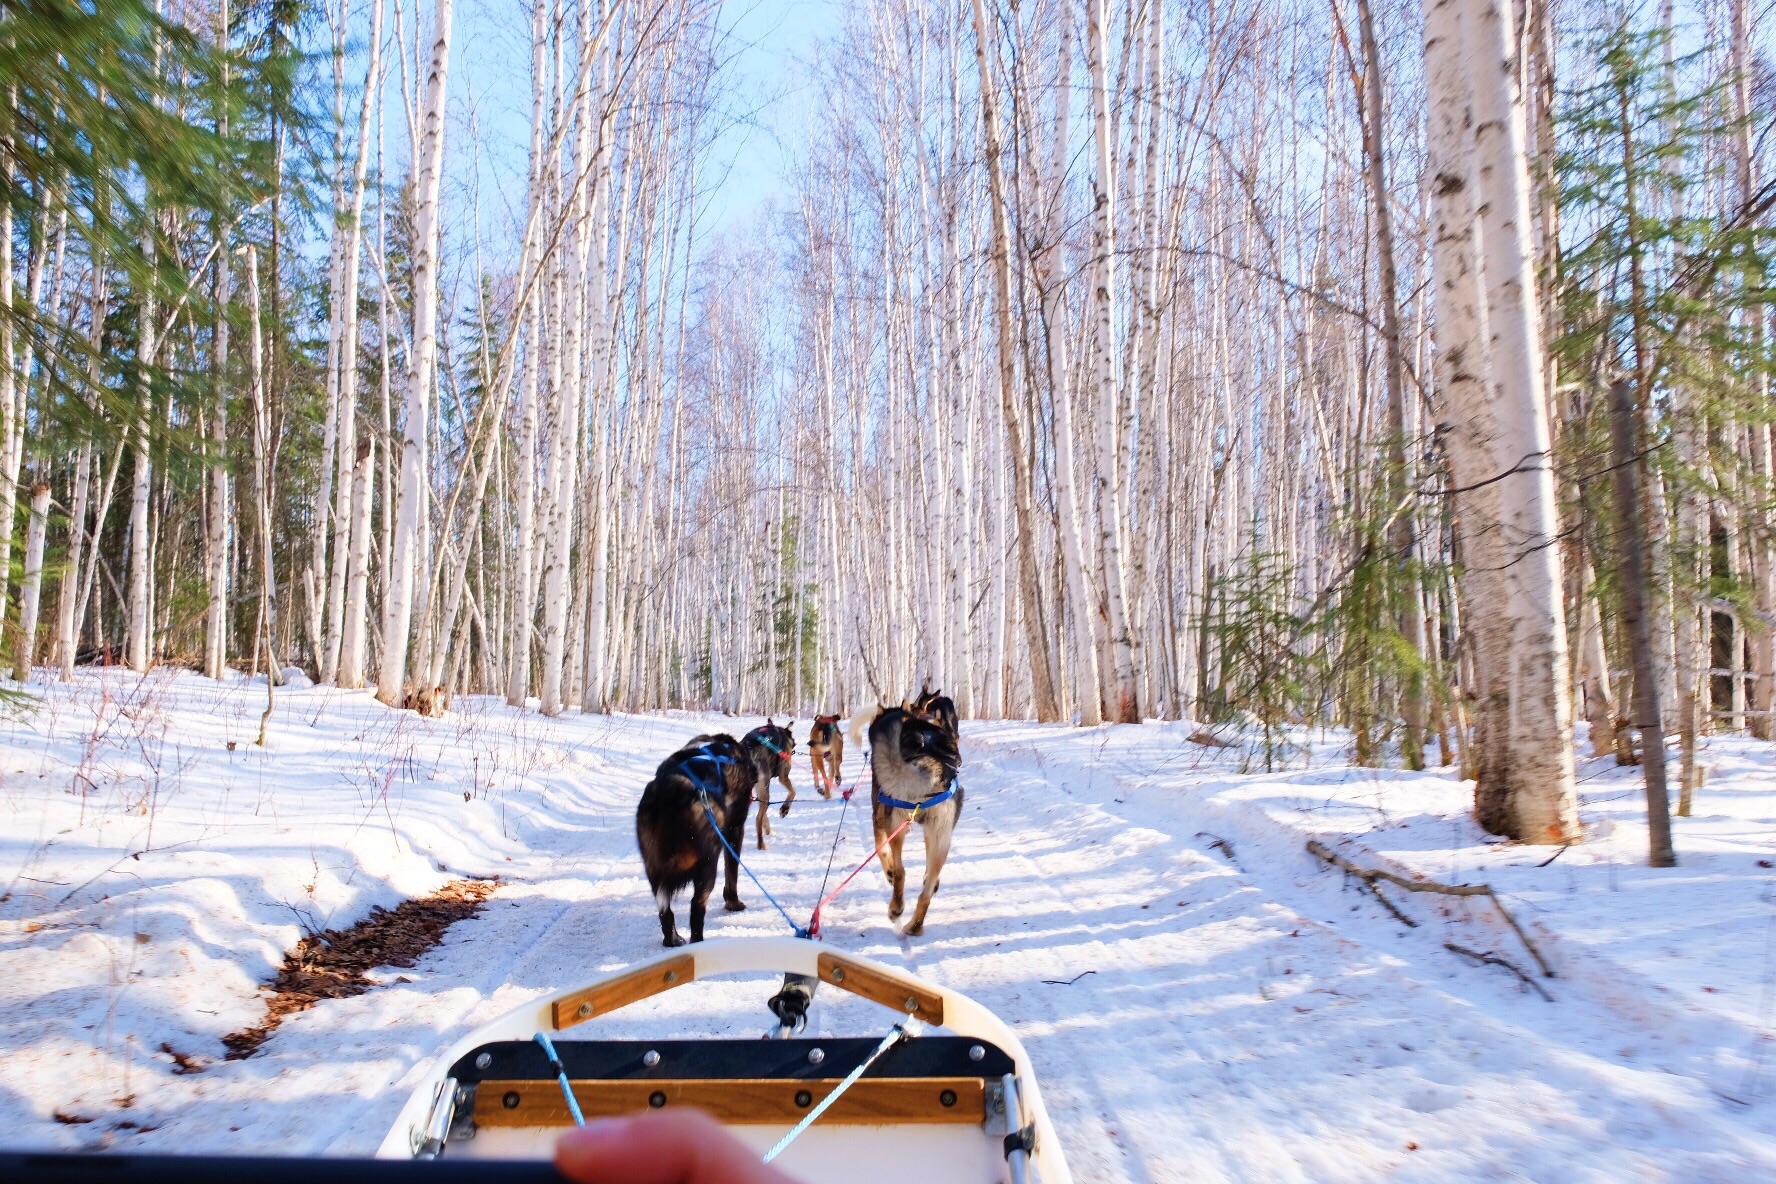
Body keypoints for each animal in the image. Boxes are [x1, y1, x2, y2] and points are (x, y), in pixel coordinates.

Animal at [635, 734, 753, 951]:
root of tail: (670, 789)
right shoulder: (734, 831)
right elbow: (732, 872)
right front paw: (733, 903)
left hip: (653, 870)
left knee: (665, 912)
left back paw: (672, 940)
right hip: (707, 866)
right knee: (696, 906)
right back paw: (697, 942)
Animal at [742, 717, 799, 848]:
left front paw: (768, 830)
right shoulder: (783, 776)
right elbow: (793, 791)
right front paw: (784, 809)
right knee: (758, 818)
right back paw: (761, 845)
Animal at [852, 702, 966, 937]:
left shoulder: (879, 819)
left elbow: (881, 850)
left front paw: (888, 872)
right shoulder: (932, 834)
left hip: (895, 825)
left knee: (900, 871)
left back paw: (895, 908)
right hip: (941, 837)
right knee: (926, 892)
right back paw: (915, 925)